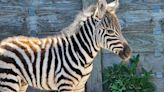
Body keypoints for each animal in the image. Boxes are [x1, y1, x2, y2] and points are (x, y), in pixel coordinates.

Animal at [0, 0, 131, 91]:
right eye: (109, 31)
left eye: (120, 29)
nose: (129, 52)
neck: (80, 52)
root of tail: (3, 43)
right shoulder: (65, 84)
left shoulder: (80, 86)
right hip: (8, 82)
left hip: (20, 83)